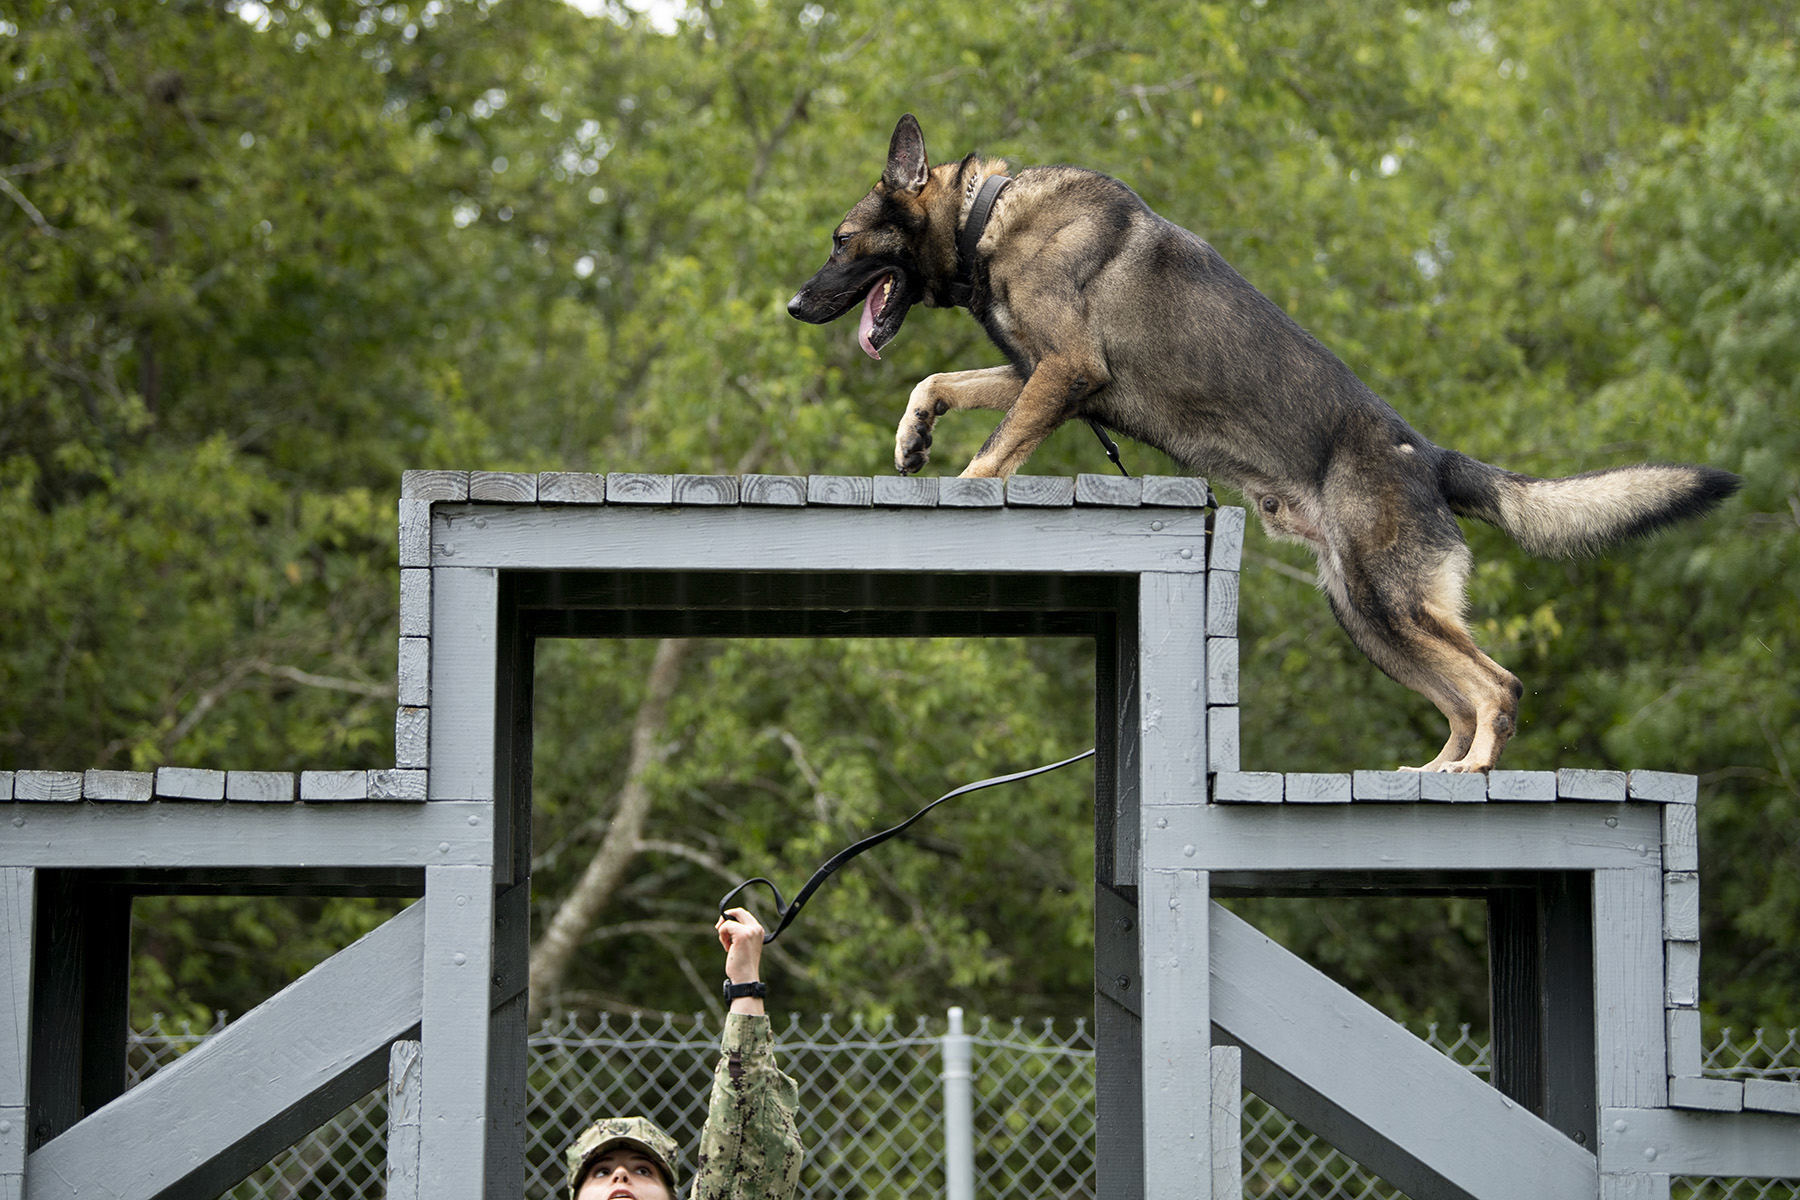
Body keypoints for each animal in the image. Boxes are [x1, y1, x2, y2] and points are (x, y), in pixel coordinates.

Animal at [788, 112, 1742, 770]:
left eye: (839, 241)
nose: (793, 306)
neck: (987, 216)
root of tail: (1431, 457)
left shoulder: (1062, 370)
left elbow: (991, 453)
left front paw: (958, 483)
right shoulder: (1040, 373)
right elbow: (939, 382)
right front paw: (914, 437)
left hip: (1392, 601)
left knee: (1496, 688)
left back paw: (1470, 773)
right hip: (1365, 614)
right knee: (1461, 698)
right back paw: (1431, 774)